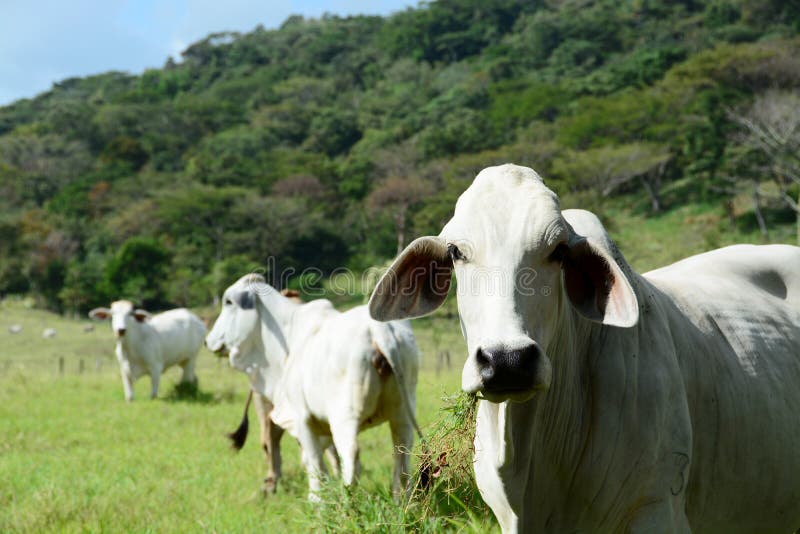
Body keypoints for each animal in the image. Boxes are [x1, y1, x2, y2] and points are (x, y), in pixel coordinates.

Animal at [205, 274, 421, 501]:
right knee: (402, 457)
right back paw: (401, 502)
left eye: (228, 302)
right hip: (402, 413)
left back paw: (346, 503)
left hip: (345, 416)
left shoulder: (302, 418)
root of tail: (379, 331)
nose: (208, 340)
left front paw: (317, 500)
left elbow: (314, 462)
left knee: (352, 457)